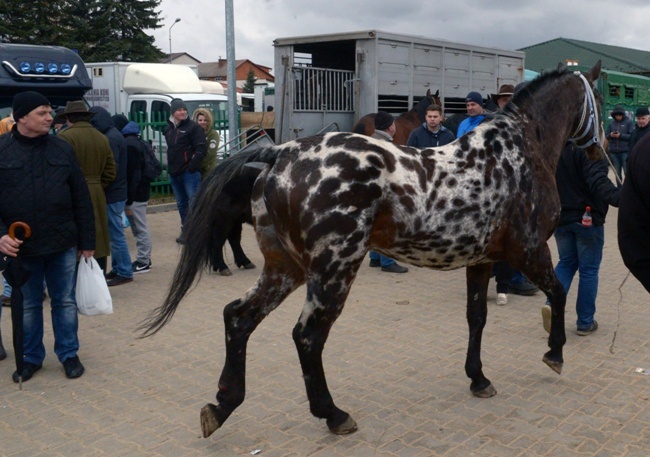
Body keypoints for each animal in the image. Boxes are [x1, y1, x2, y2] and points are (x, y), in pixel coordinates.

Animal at [140, 61, 604, 438]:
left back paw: (222, 404)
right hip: (333, 271)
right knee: (307, 336)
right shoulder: (529, 250)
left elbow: (477, 318)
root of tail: (278, 152)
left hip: (284, 268)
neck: (517, 151)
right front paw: (555, 352)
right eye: (600, 99)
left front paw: (478, 378)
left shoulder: (482, 259)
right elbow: (559, 292)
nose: (600, 150)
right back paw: (333, 414)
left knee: (238, 317)